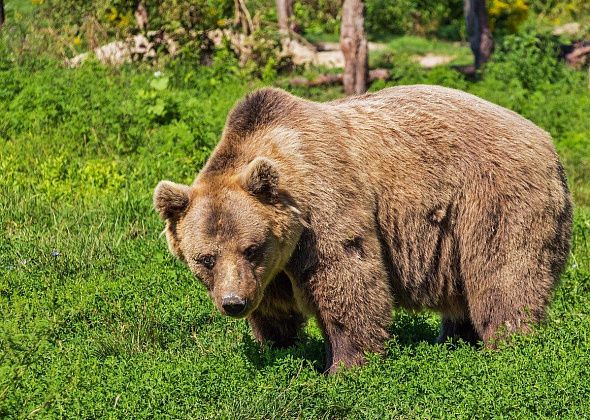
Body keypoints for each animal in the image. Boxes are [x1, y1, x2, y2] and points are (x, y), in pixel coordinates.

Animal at [153, 83, 572, 372]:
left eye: (251, 248)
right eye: (205, 258)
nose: (233, 303)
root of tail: (547, 140)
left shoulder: (324, 207)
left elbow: (347, 279)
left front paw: (345, 365)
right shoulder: (272, 269)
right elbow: (274, 307)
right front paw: (277, 347)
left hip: (494, 198)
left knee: (503, 274)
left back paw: (508, 346)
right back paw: (453, 339)